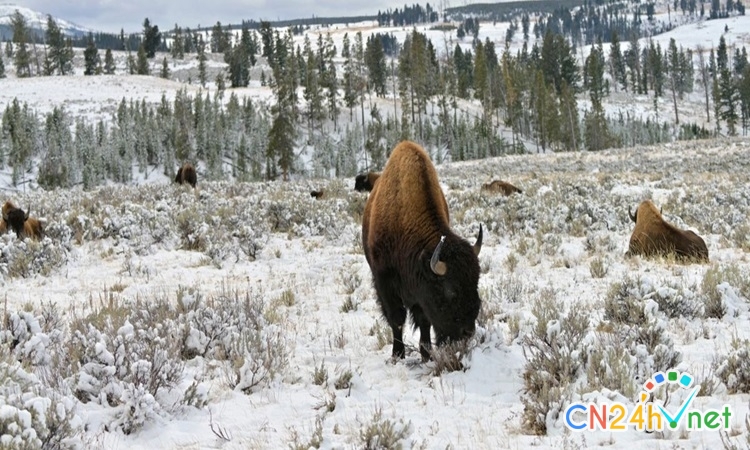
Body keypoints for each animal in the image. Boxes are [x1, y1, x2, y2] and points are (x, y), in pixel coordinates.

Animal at [366, 141, 488, 362]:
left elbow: (424, 321)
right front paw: (398, 354)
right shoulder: (384, 281)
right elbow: (396, 319)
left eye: (476, 283)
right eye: (450, 290)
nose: (467, 332)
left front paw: (427, 354)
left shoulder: (421, 297)